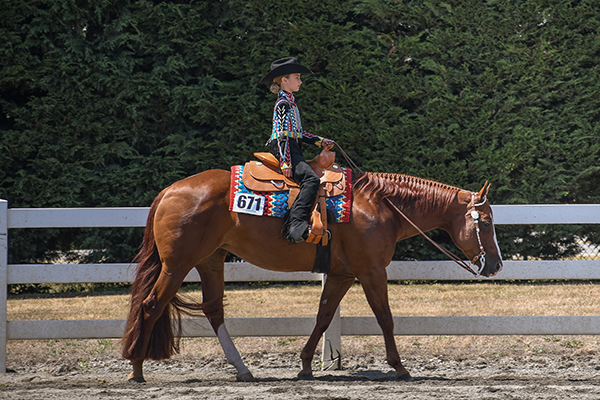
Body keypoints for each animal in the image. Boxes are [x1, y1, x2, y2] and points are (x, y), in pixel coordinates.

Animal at [120, 167, 502, 382]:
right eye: (485, 222)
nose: (496, 265)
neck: (380, 206)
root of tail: (169, 191)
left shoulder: (341, 275)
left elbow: (323, 316)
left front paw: (304, 365)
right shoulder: (370, 271)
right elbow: (385, 318)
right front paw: (400, 367)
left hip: (210, 261)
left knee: (214, 310)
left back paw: (243, 370)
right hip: (178, 265)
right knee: (151, 306)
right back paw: (136, 368)